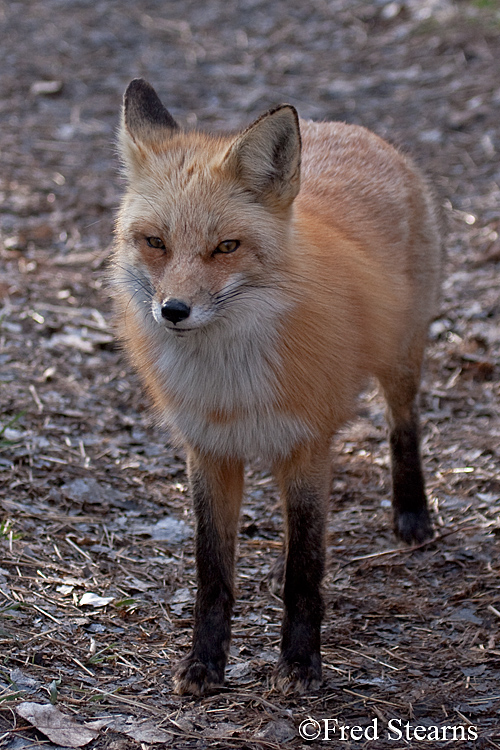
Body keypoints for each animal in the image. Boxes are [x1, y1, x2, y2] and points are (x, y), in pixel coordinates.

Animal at [110, 79, 442, 696]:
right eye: (155, 242)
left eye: (226, 247)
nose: (173, 311)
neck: (231, 379)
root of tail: (351, 128)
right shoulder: (209, 450)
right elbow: (213, 572)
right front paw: (205, 664)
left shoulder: (307, 448)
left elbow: (303, 571)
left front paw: (300, 664)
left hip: (401, 358)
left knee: (404, 427)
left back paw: (413, 514)